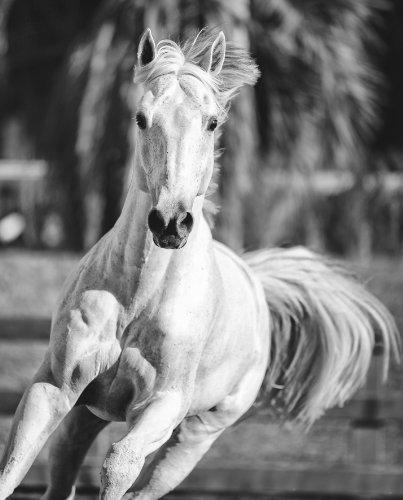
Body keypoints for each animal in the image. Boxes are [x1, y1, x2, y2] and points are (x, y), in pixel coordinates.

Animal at [0, 28, 400, 500]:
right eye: (141, 118)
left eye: (211, 122)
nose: (170, 222)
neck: (139, 297)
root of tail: (256, 284)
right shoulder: (53, 387)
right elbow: (13, 466)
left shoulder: (163, 404)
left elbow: (119, 465)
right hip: (84, 416)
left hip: (194, 437)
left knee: (146, 484)